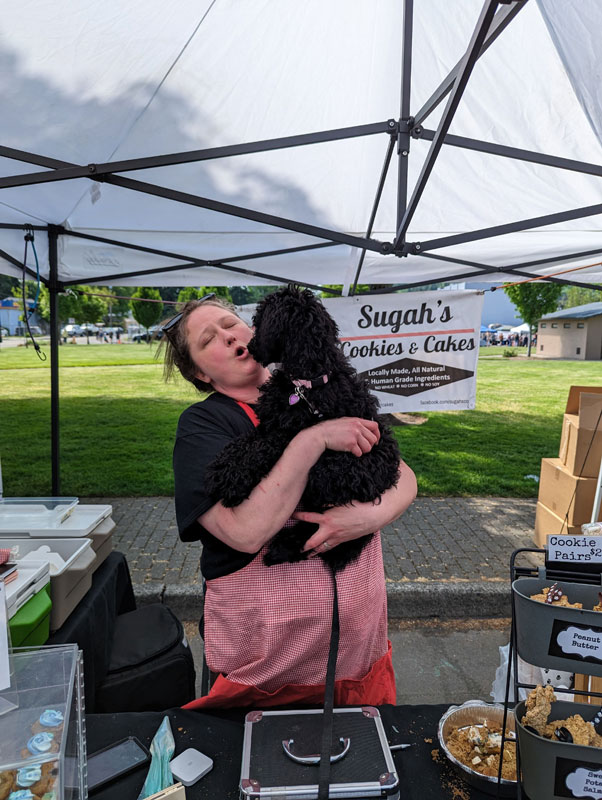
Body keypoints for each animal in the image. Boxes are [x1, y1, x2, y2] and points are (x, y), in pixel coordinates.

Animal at [204, 284, 400, 572]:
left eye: (259, 320)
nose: (250, 346)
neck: (306, 383)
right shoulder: (270, 423)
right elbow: (247, 441)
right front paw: (224, 466)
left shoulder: (289, 432)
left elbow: (262, 446)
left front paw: (230, 479)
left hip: (330, 472)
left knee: (325, 523)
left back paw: (283, 548)